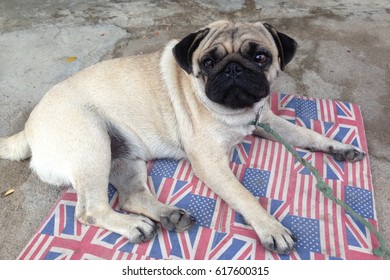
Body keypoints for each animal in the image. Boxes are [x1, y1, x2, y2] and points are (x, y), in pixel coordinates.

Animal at [0, 20, 366, 255]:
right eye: (209, 62)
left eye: (260, 57)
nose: (233, 68)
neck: (237, 112)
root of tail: (29, 128)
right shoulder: (210, 162)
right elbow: (244, 196)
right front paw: (271, 228)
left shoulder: (268, 120)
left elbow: (308, 134)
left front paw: (339, 146)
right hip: (92, 145)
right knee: (90, 211)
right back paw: (132, 227)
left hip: (123, 156)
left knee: (131, 196)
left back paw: (167, 216)